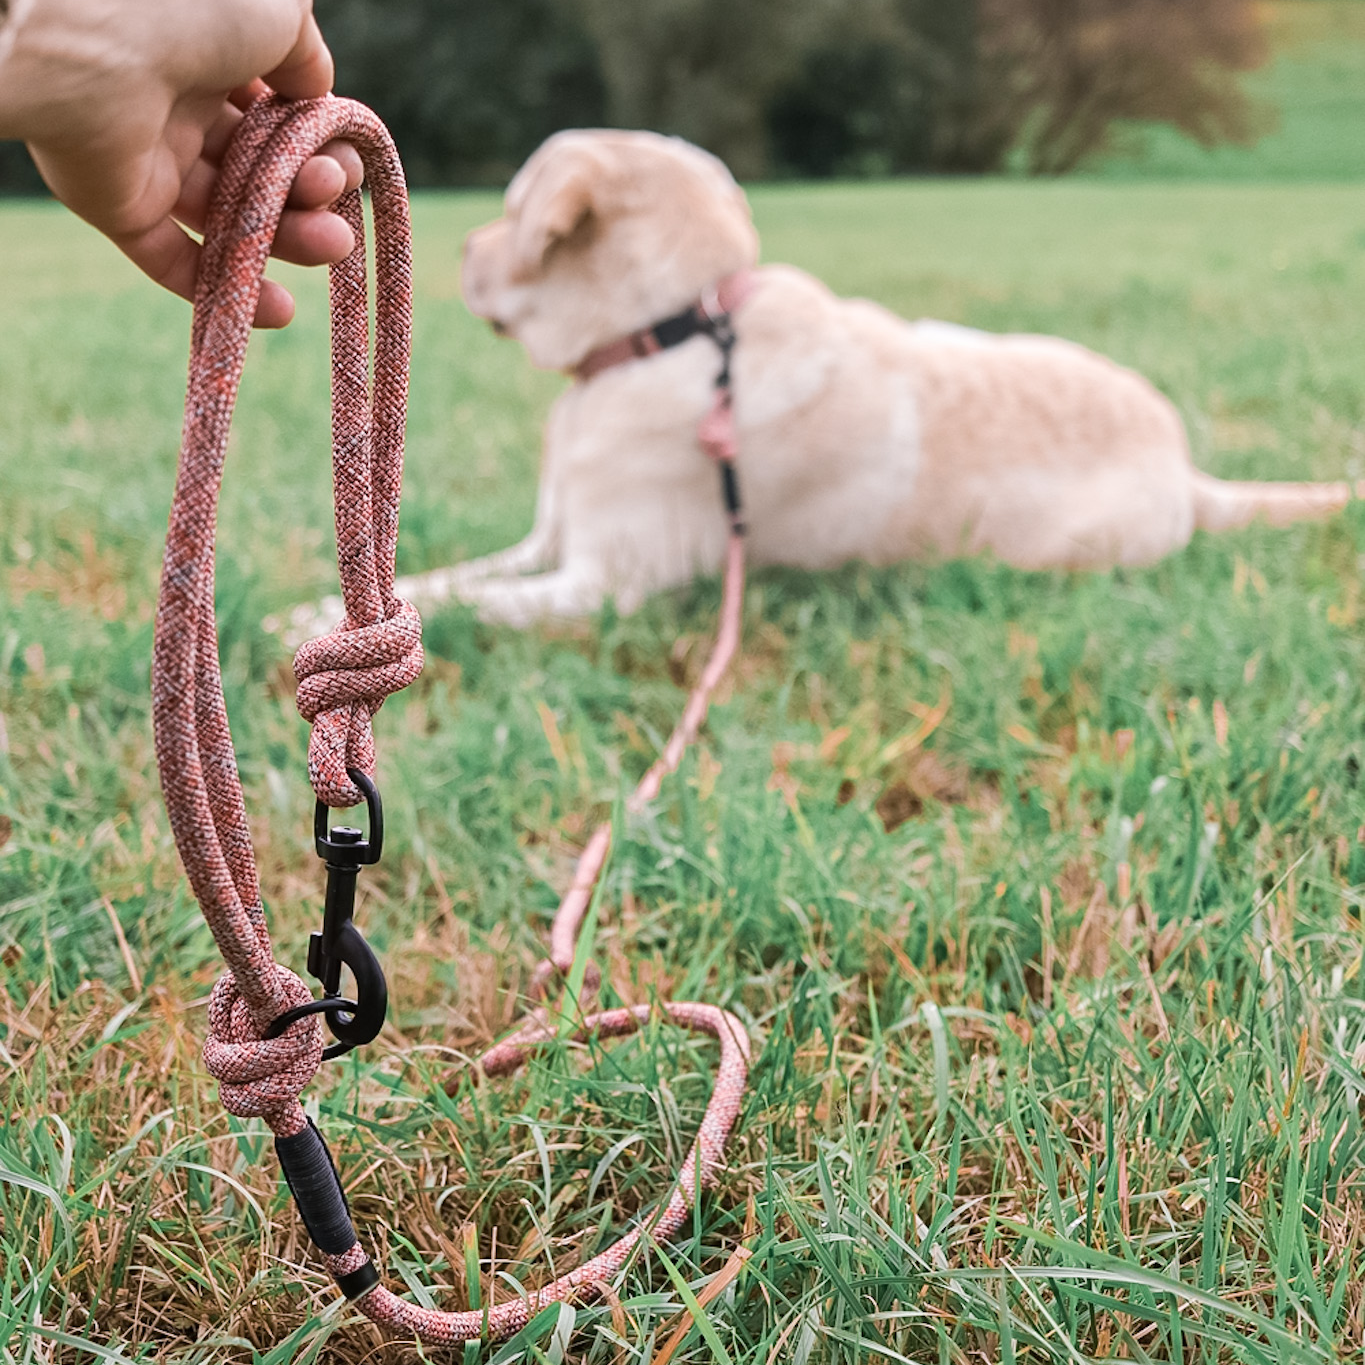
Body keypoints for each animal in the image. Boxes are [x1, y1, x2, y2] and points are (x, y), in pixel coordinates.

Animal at [279, 125, 1354, 636]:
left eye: (508, 210)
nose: (460, 248)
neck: (675, 329)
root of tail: (1190, 476)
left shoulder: (601, 587)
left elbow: (469, 607)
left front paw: (311, 623)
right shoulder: (545, 541)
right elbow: (436, 584)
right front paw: (328, 613)